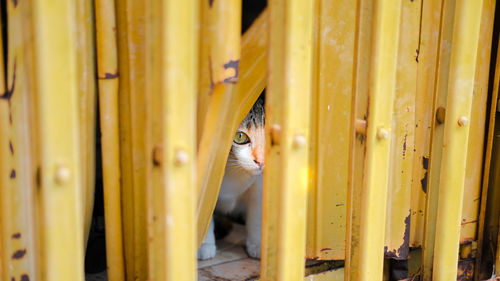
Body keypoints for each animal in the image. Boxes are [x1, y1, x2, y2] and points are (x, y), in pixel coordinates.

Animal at [197, 95, 266, 260]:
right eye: (240, 137)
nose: (261, 161)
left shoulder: (258, 185)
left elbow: (256, 213)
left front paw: (257, 245)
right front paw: (204, 245)